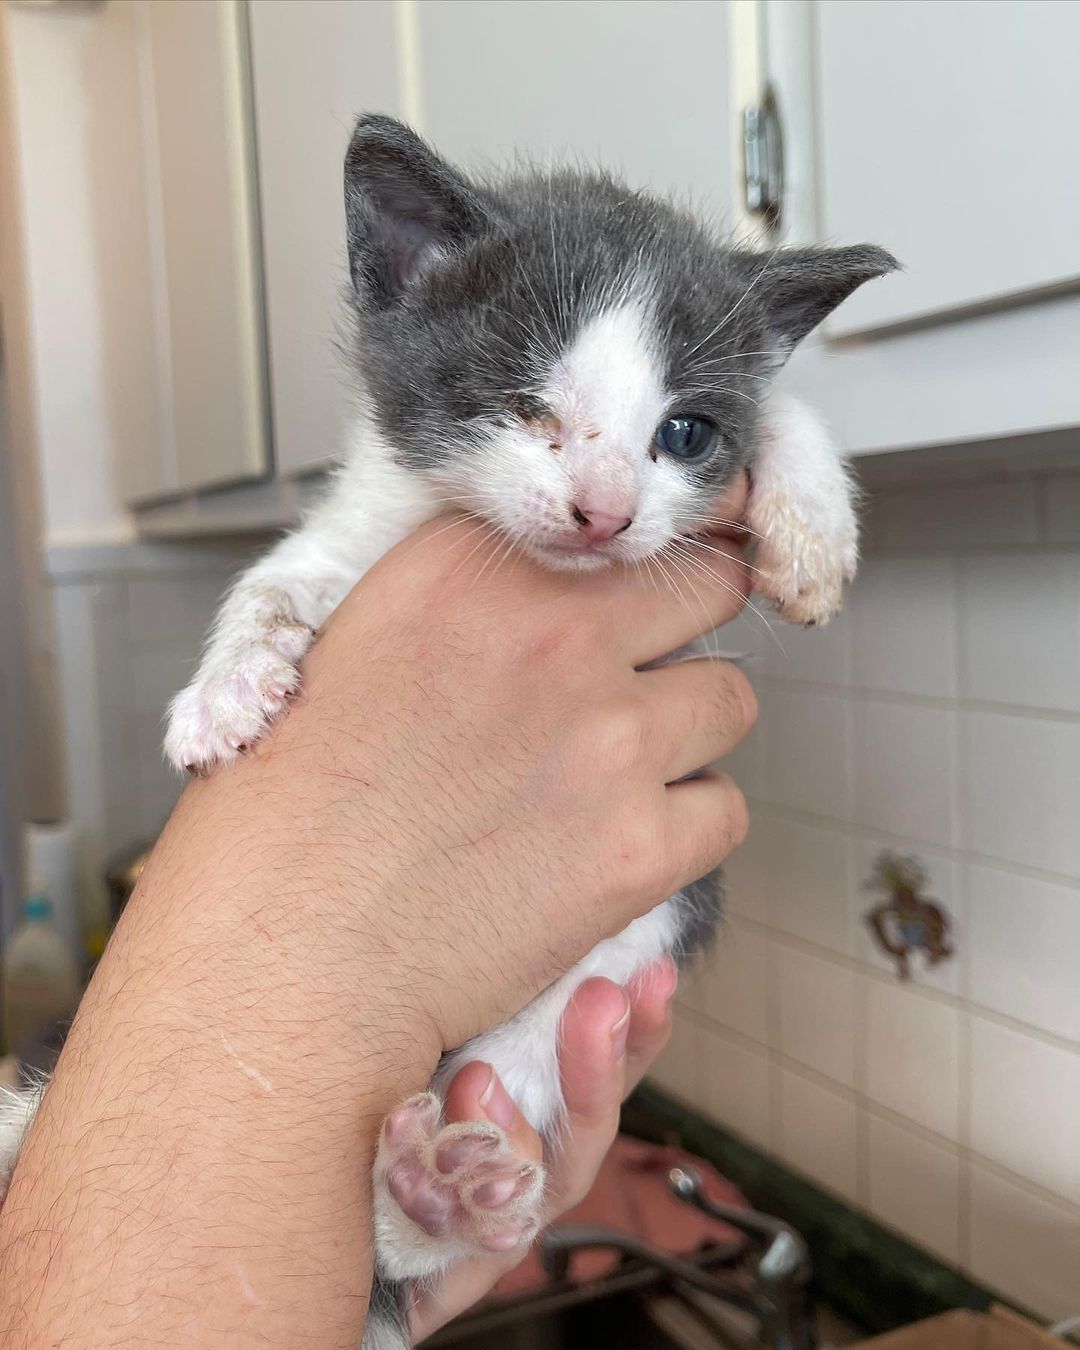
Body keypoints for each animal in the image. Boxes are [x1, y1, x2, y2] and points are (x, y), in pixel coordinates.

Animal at [0, 118, 896, 1350]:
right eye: (525, 406)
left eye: (682, 432)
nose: (606, 513)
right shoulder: (358, 527)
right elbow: (277, 576)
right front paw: (226, 690)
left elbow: (780, 405)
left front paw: (809, 525)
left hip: (616, 956)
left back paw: (435, 1198)